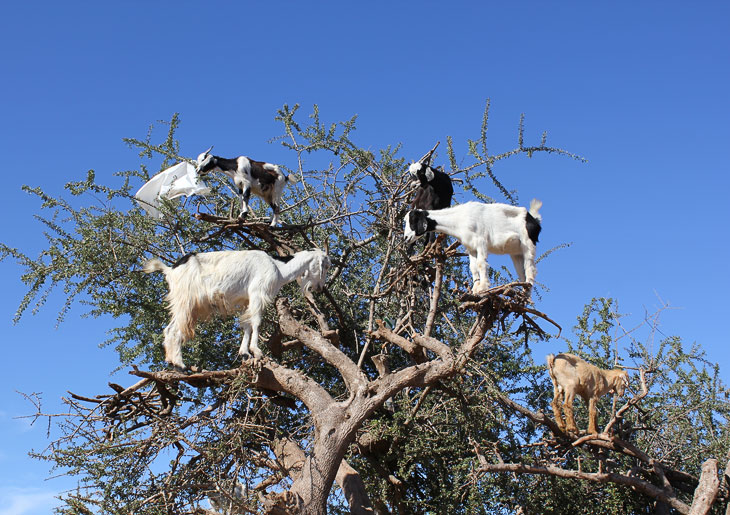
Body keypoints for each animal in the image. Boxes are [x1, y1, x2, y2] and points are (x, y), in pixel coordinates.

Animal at [143, 248, 330, 368]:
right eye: (326, 266)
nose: (320, 288)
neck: (278, 266)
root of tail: (170, 270)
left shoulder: (245, 300)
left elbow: (246, 325)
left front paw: (245, 353)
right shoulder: (257, 293)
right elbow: (256, 322)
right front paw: (257, 351)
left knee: (168, 329)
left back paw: (171, 361)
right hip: (186, 301)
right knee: (175, 329)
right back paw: (180, 364)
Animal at [404, 200, 540, 294]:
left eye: (413, 220)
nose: (406, 238)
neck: (460, 219)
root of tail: (535, 220)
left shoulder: (481, 242)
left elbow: (481, 264)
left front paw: (483, 287)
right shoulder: (470, 247)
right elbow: (473, 267)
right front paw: (475, 288)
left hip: (528, 243)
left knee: (530, 267)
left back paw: (526, 291)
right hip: (516, 252)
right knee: (521, 271)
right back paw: (524, 293)